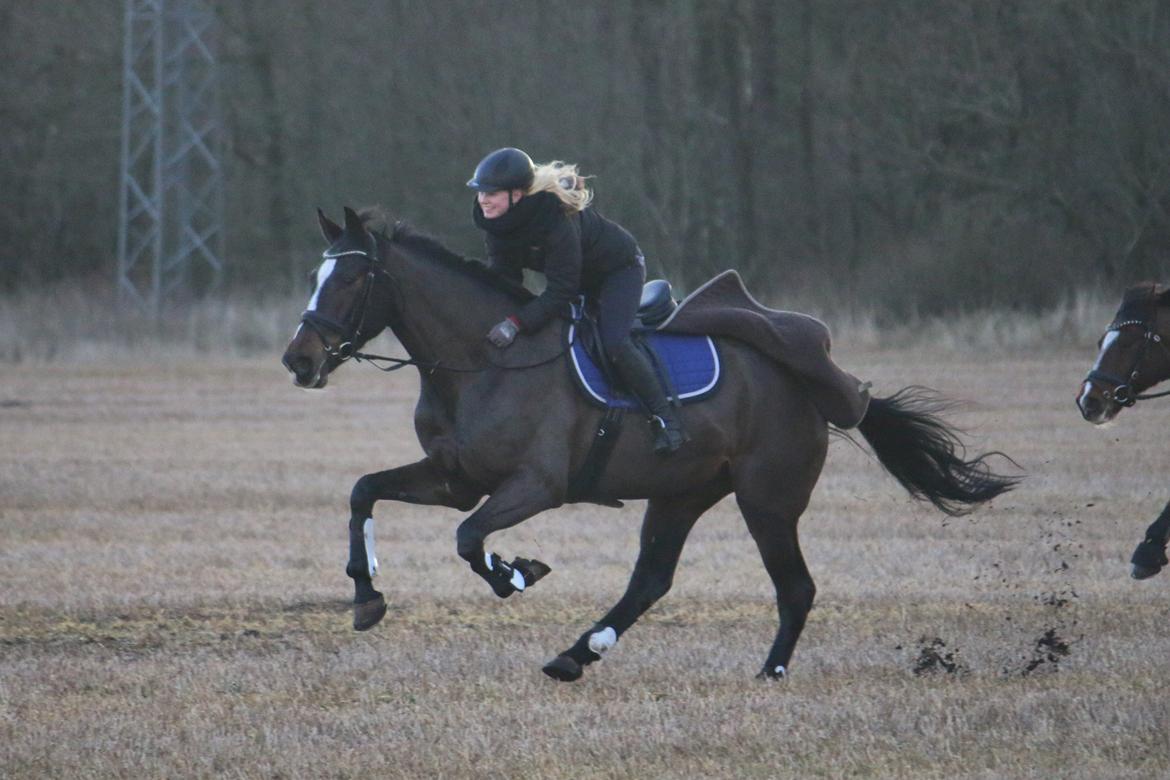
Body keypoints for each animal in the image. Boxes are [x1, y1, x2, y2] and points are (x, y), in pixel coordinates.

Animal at [281, 207, 1018, 681]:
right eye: (314, 278)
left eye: (349, 279)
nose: (298, 360)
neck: (483, 361)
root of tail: (804, 381)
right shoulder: (454, 478)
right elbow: (365, 492)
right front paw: (366, 596)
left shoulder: (535, 487)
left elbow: (468, 540)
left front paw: (517, 573)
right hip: (682, 494)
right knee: (652, 579)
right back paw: (577, 654)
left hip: (767, 498)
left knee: (795, 587)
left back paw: (770, 672)